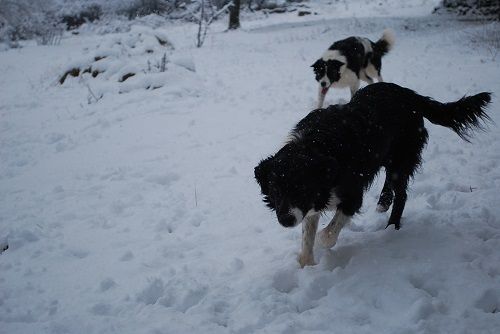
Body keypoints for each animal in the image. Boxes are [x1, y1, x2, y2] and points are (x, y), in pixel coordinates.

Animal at [256, 82, 490, 268]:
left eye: (302, 188)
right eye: (275, 190)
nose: (285, 220)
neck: (314, 145)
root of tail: (409, 94)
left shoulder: (351, 194)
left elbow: (328, 233)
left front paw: (323, 242)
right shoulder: (312, 204)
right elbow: (307, 235)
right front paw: (306, 265)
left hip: (402, 156)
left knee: (402, 194)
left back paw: (391, 227)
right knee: (390, 183)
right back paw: (383, 202)